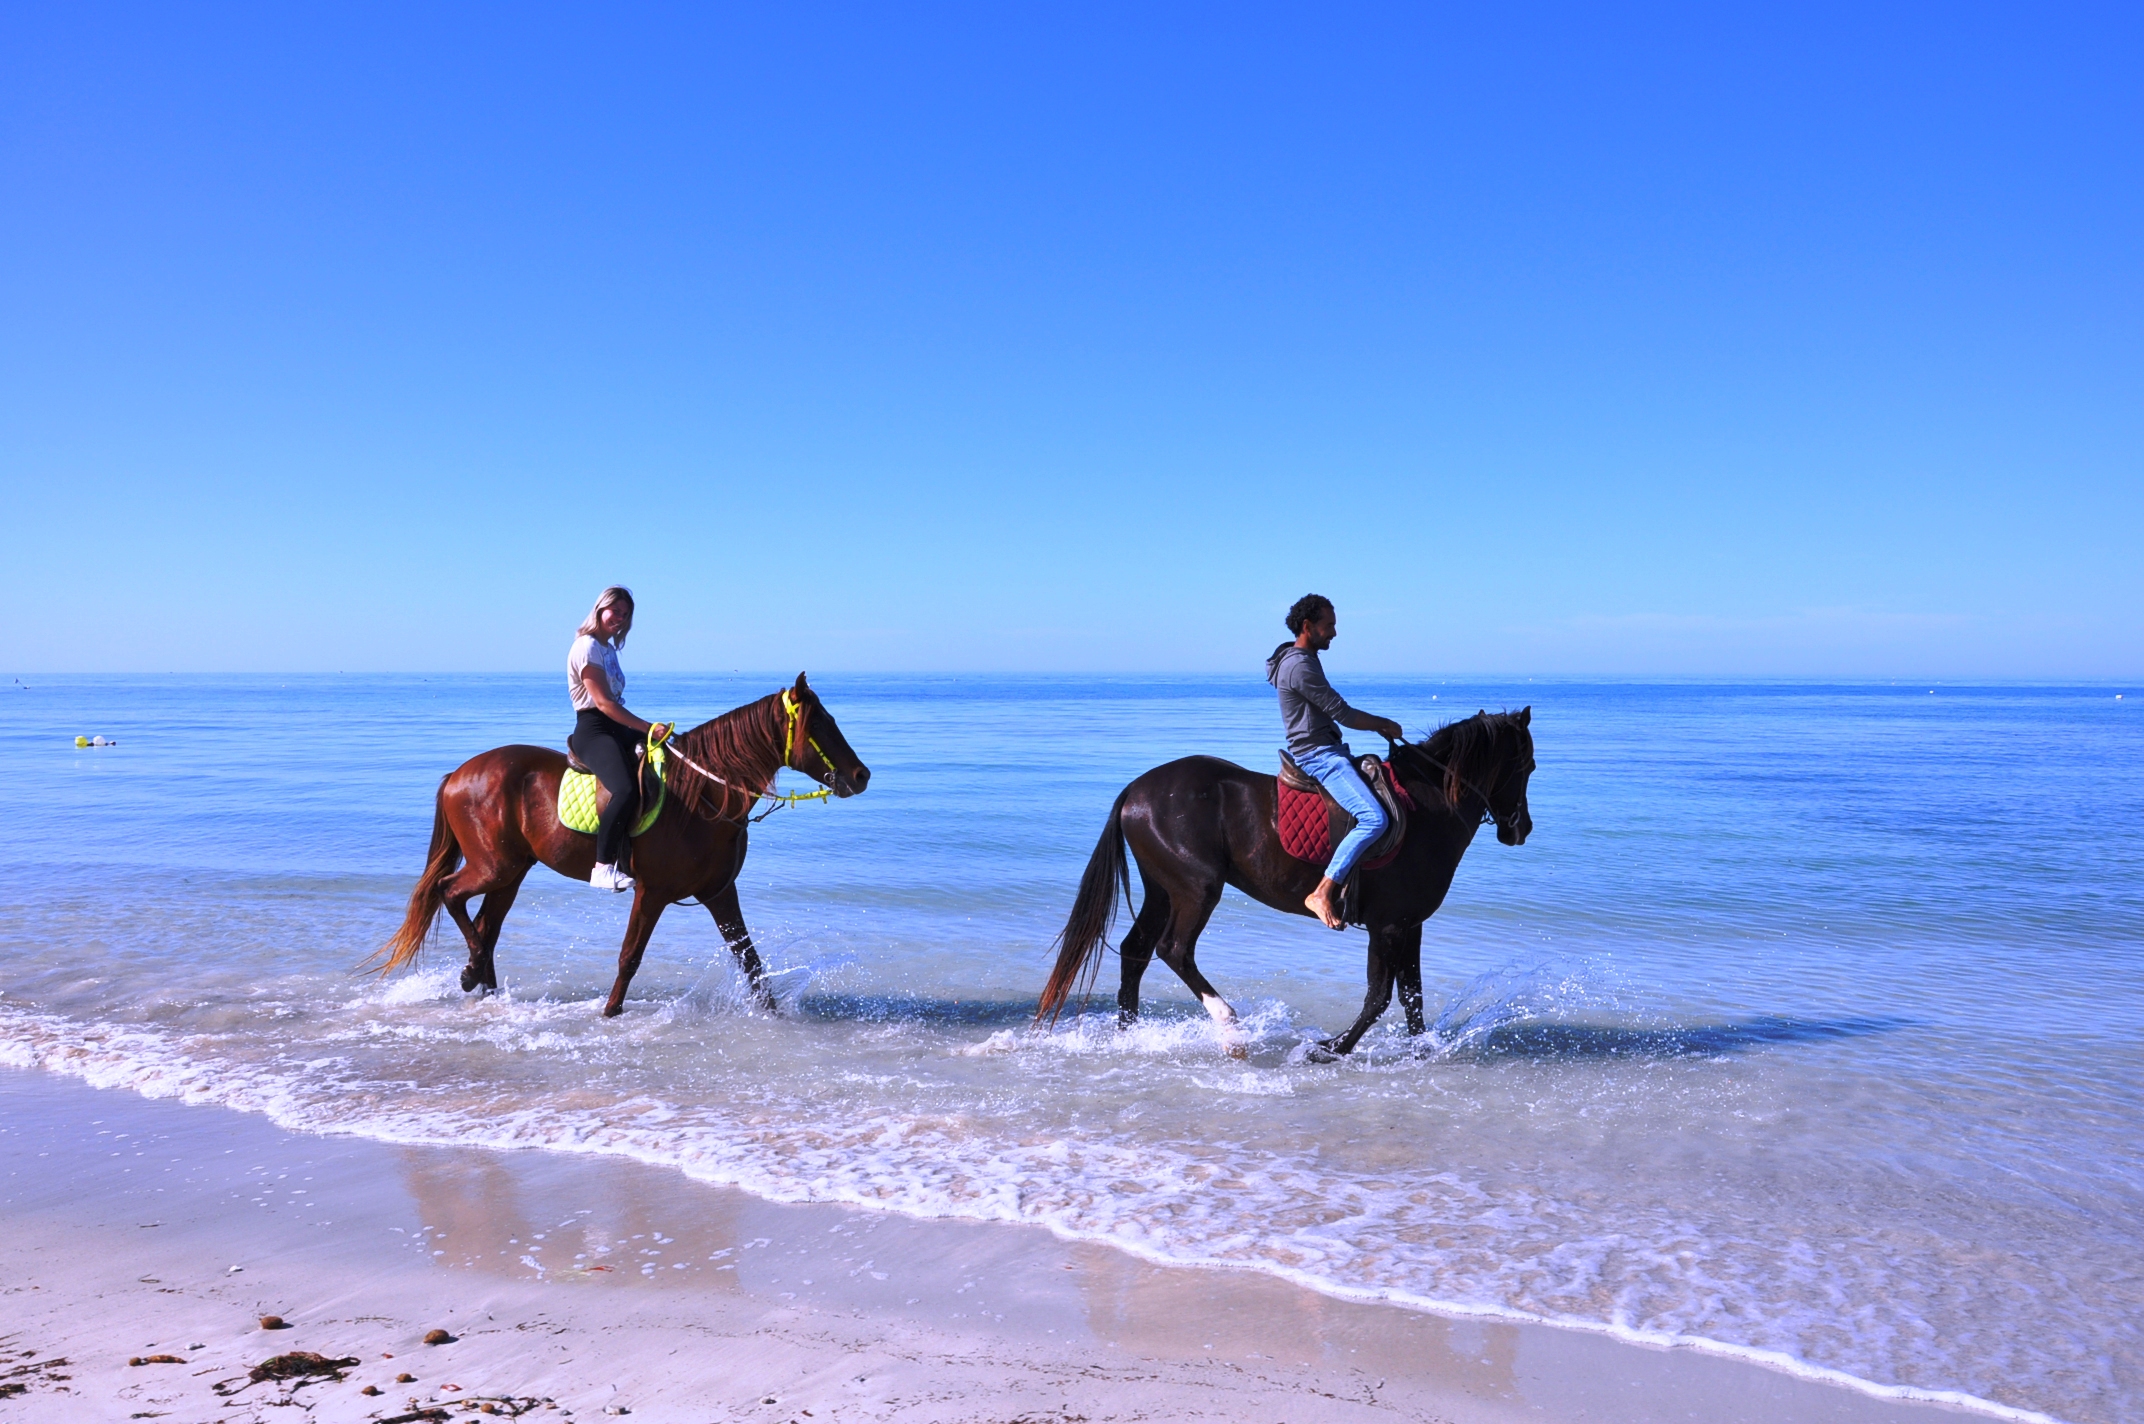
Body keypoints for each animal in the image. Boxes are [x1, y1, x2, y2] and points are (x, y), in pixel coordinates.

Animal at [372, 673, 871, 1016]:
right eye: (819, 723)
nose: (861, 775)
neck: (703, 795)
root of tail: (459, 774)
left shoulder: (719, 892)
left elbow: (750, 961)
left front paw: (772, 1013)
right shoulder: (653, 892)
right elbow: (630, 956)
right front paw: (611, 1012)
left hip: (512, 872)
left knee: (487, 927)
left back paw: (486, 986)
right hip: (492, 867)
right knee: (451, 894)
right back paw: (470, 973)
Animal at [1035, 709, 1533, 1059]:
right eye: (1527, 765)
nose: (1520, 829)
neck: (1426, 808)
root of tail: (1135, 791)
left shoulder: (1410, 925)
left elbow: (1413, 998)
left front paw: (1421, 1051)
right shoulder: (1388, 927)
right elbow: (1378, 997)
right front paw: (1332, 1049)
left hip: (1162, 889)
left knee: (1135, 950)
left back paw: (1130, 1035)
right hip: (1196, 889)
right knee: (1173, 949)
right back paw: (1230, 1027)